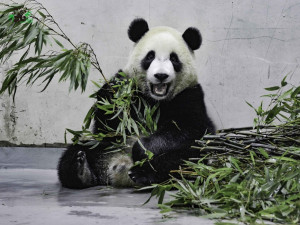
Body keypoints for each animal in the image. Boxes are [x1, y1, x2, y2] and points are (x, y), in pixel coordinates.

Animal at [57, 18, 214, 189]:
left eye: (174, 59)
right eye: (150, 56)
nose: (161, 75)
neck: (155, 101)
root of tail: (119, 169)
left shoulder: (189, 95)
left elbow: (187, 129)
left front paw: (142, 148)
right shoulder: (131, 94)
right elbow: (108, 125)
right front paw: (112, 95)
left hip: (198, 156)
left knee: (185, 159)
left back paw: (143, 173)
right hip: (103, 147)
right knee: (74, 152)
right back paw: (81, 169)